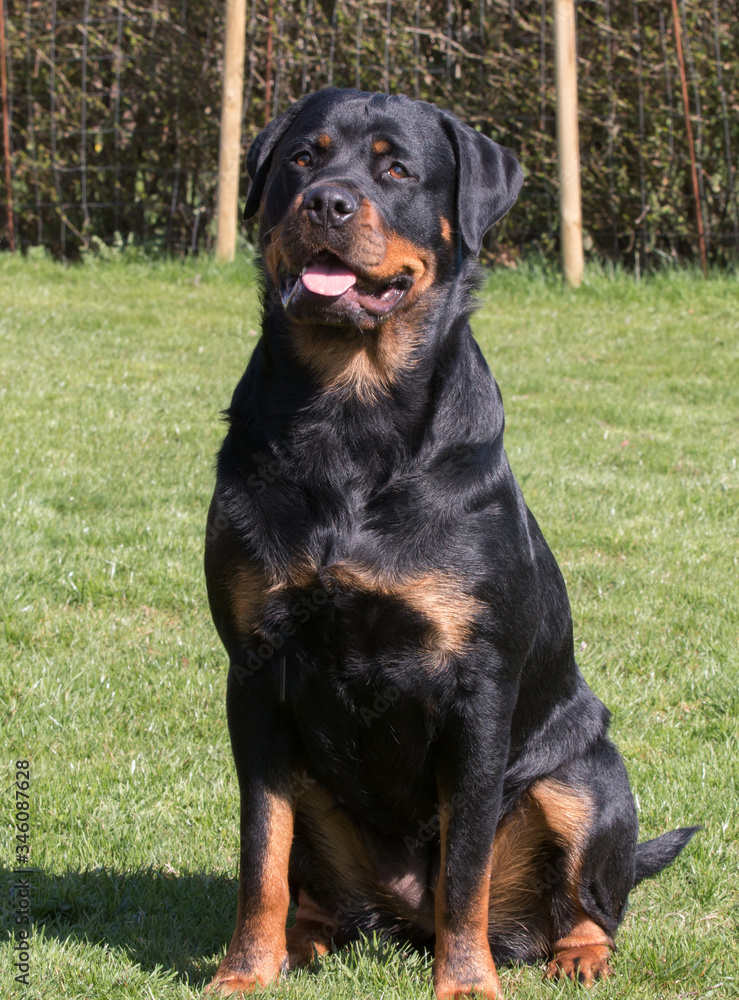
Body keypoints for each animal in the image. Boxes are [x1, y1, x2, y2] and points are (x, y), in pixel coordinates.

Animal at [204, 88, 700, 1000]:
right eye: (301, 158)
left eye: (397, 168)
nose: (326, 201)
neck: (350, 416)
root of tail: (401, 919)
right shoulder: (255, 671)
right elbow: (262, 850)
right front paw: (244, 972)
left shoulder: (477, 687)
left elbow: (465, 866)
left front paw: (466, 982)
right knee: (311, 883)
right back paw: (301, 942)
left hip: (586, 777)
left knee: (589, 898)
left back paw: (576, 952)